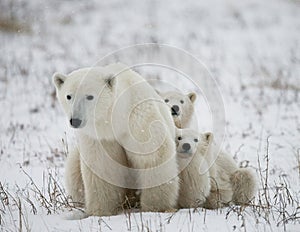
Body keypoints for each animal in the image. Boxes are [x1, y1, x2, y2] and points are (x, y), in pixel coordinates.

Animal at [52, 63, 179, 216]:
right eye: (69, 96)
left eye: (90, 96)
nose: (75, 120)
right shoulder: (100, 137)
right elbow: (102, 166)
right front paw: (101, 210)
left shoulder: (139, 120)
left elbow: (153, 156)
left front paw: (155, 207)